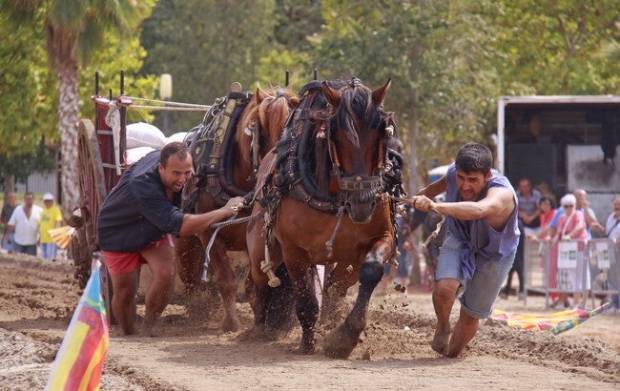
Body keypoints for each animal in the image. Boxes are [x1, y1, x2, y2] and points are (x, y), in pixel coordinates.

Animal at [176, 86, 300, 330]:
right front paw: (231, 323)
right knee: (190, 279)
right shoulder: (208, 232)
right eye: (260, 130)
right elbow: (226, 280)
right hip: (186, 244)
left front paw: (258, 317)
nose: (278, 173)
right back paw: (199, 311)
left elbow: (254, 282)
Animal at [246, 79, 398, 358]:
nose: (362, 201)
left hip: (347, 260)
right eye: (336, 135)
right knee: (260, 281)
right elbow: (306, 298)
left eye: (383, 133)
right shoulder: (294, 251)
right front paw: (308, 342)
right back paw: (258, 328)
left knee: (337, 285)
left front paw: (345, 336)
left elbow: (371, 271)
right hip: (261, 247)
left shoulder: (382, 236)